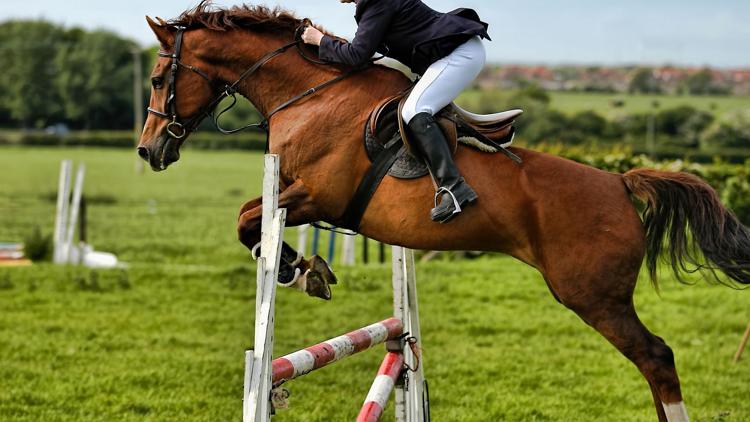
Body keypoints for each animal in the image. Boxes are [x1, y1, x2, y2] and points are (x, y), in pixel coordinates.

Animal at [137, 4, 750, 422]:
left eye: (158, 79)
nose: (149, 151)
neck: (312, 93)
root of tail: (621, 183)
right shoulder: (295, 191)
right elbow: (249, 218)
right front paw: (305, 268)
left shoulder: (314, 195)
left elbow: (247, 220)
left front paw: (297, 269)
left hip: (593, 295)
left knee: (657, 357)